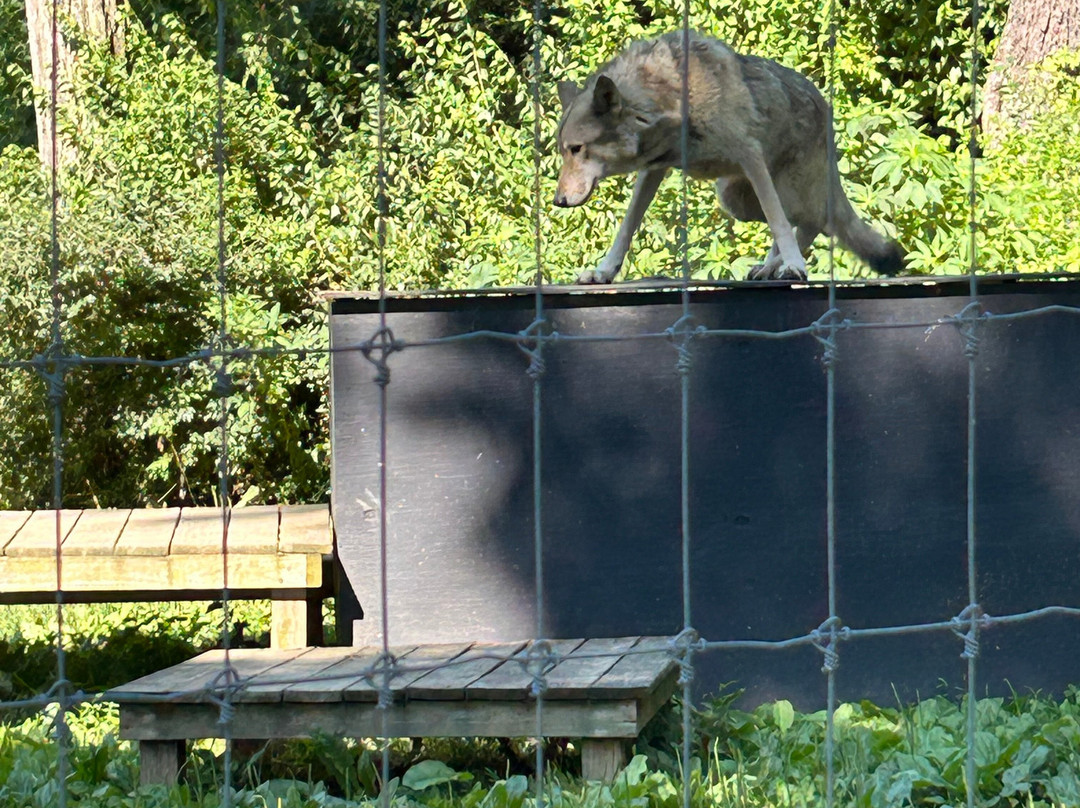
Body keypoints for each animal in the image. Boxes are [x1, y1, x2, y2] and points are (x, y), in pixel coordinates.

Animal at [554, 31, 905, 283]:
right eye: (563, 150)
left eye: (577, 149)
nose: (558, 201)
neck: (671, 102)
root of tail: (824, 105)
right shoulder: (653, 170)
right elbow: (626, 227)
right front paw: (603, 272)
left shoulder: (750, 156)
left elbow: (778, 222)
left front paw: (795, 266)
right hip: (733, 199)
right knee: (806, 223)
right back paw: (768, 267)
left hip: (782, 191)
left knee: (815, 220)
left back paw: (782, 265)